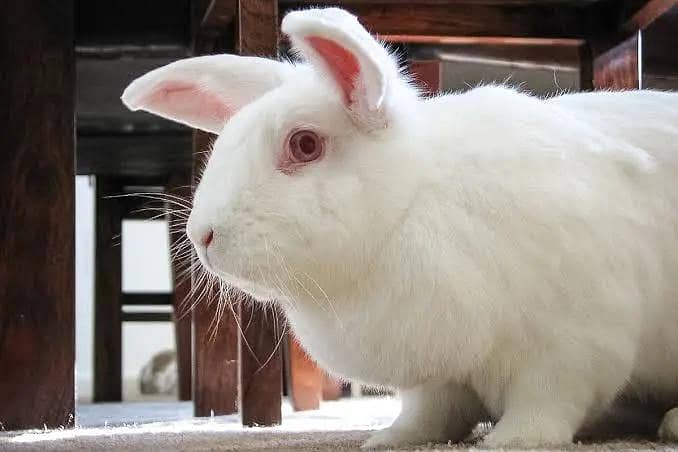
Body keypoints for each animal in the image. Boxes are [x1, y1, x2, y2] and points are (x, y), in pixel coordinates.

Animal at [121, 7, 678, 449]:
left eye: (304, 145)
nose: (202, 236)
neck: (410, 205)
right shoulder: (439, 374)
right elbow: (431, 412)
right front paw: (390, 439)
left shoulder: (570, 345)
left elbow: (545, 406)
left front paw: (509, 442)